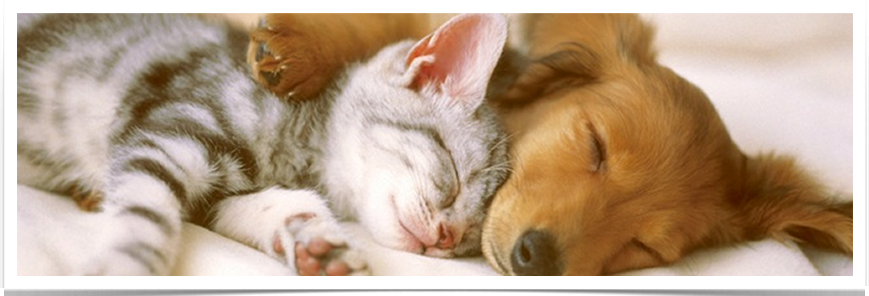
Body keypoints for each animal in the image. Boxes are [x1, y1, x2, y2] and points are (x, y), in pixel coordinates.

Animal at [15, 12, 508, 276]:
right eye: (454, 174)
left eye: (470, 238)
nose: (447, 237)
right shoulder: (166, 134)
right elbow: (145, 215)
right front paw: (127, 267)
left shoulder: (214, 193)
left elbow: (281, 204)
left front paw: (316, 241)